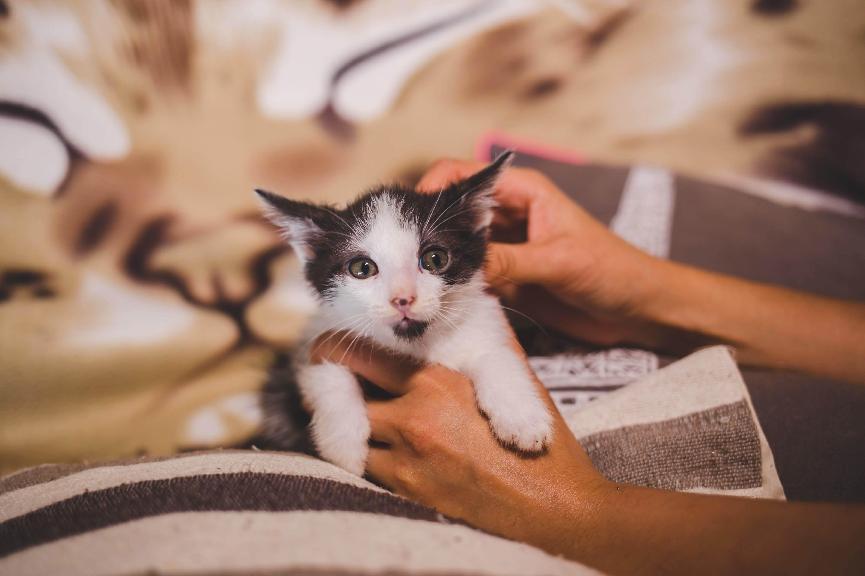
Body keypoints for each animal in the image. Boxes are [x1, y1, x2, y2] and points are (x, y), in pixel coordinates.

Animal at [256, 151, 552, 474]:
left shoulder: (483, 318)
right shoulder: (320, 336)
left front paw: (522, 416)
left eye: (435, 259)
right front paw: (343, 446)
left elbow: (495, 354)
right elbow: (324, 371)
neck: (416, 346)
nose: (403, 299)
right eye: (362, 268)